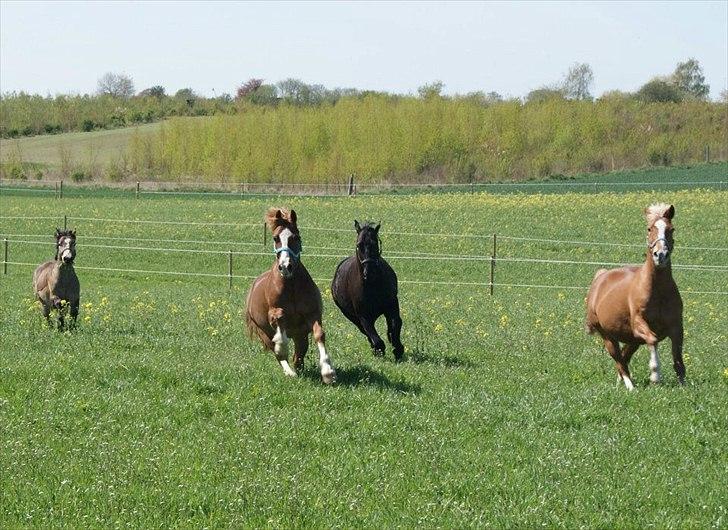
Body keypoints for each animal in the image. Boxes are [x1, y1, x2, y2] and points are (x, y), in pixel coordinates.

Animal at [245, 208, 336, 384]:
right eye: (276, 238)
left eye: (296, 237)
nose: (286, 266)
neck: (291, 284)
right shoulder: (274, 314)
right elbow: (280, 324)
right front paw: (282, 346)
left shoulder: (313, 315)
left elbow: (319, 335)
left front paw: (328, 372)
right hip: (264, 332)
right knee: (277, 353)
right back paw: (290, 372)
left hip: (301, 335)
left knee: (298, 356)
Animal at [331, 221, 404, 361]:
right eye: (359, 245)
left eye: (375, 243)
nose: (369, 273)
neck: (372, 285)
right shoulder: (363, 316)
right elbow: (374, 337)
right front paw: (380, 350)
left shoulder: (392, 304)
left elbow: (395, 324)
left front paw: (397, 348)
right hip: (352, 316)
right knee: (365, 332)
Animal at [585, 203, 685, 390]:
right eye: (649, 228)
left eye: (671, 229)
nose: (660, 255)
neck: (658, 291)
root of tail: (601, 276)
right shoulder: (639, 324)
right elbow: (653, 340)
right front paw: (655, 375)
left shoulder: (677, 327)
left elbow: (678, 358)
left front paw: (684, 384)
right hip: (608, 336)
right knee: (620, 361)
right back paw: (630, 387)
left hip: (632, 340)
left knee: (624, 358)